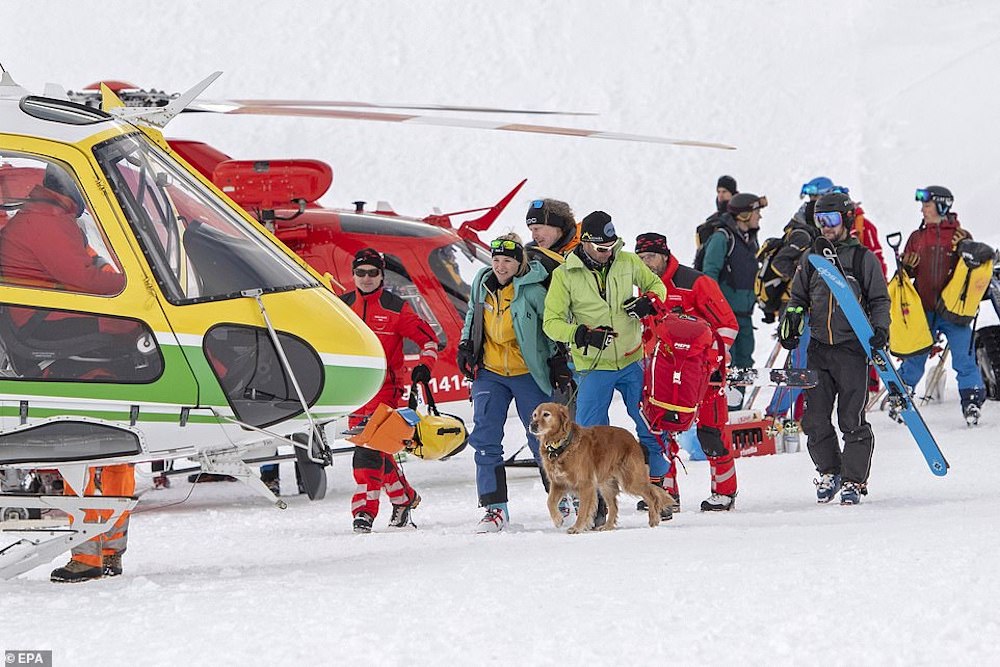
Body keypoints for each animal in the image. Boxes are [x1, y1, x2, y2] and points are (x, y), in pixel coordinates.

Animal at [532, 402, 672, 532]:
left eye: (546, 414)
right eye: (534, 415)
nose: (532, 425)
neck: (561, 446)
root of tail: (632, 439)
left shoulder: (586, 485)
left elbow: (582, 510)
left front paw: (577, 527)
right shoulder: (558, 483)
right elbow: (549, 502)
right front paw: (558, 520)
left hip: (631, 481)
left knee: (652, 495)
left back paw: (654, 520)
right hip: (606, 485)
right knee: (614, 507)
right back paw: (607, 526)